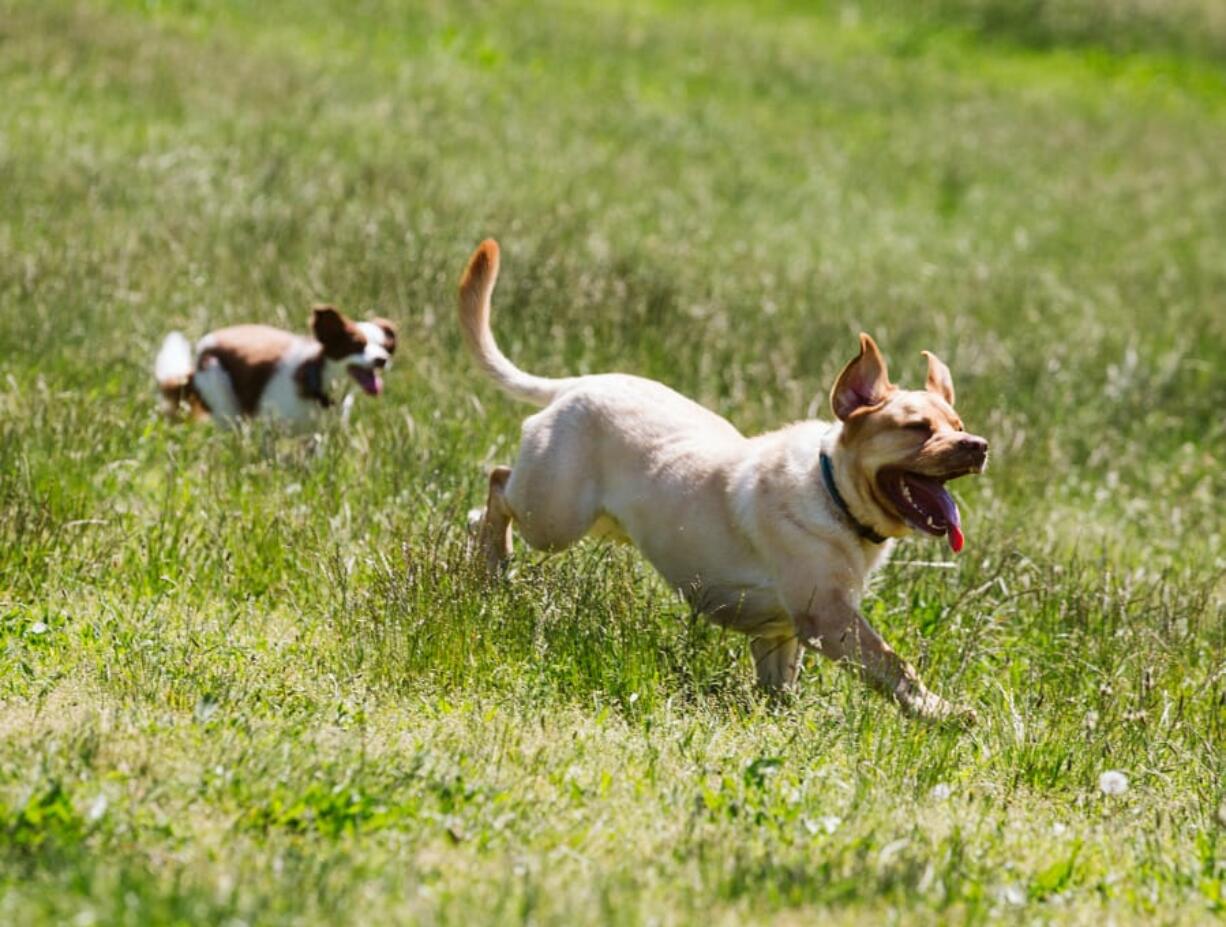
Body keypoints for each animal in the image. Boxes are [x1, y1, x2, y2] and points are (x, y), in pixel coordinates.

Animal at [460, 240, 985, 725]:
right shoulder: (827, 617)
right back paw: (492, 558)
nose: (978, 446)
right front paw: (941, 711)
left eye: (958, 425)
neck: (832, 492)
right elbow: (893, 664)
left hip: (597, 520)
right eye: (917, 428)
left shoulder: (780, 632)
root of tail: (575, 384)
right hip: (555, 517)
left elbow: (782, 685)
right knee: (498, 484)